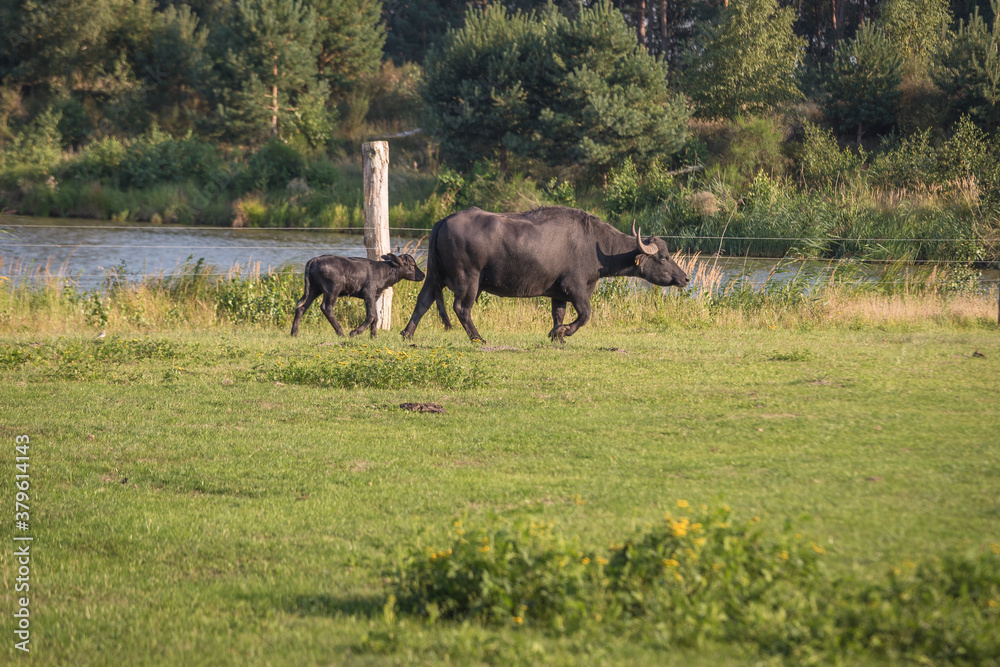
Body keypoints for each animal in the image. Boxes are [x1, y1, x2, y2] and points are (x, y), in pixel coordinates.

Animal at [398, 206, 688, 344]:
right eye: (663, 257)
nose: (685, 278)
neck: (596, 246)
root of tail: (443, 221)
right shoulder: (576, 288)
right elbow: (585, 315)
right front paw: (562, 333)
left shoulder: (559, 294)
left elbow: (558, 314)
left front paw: (556, 334)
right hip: (468, 279)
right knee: (461, 307)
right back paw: (478, 338)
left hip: (433, 276)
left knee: (423, 301)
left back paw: (407, 334)